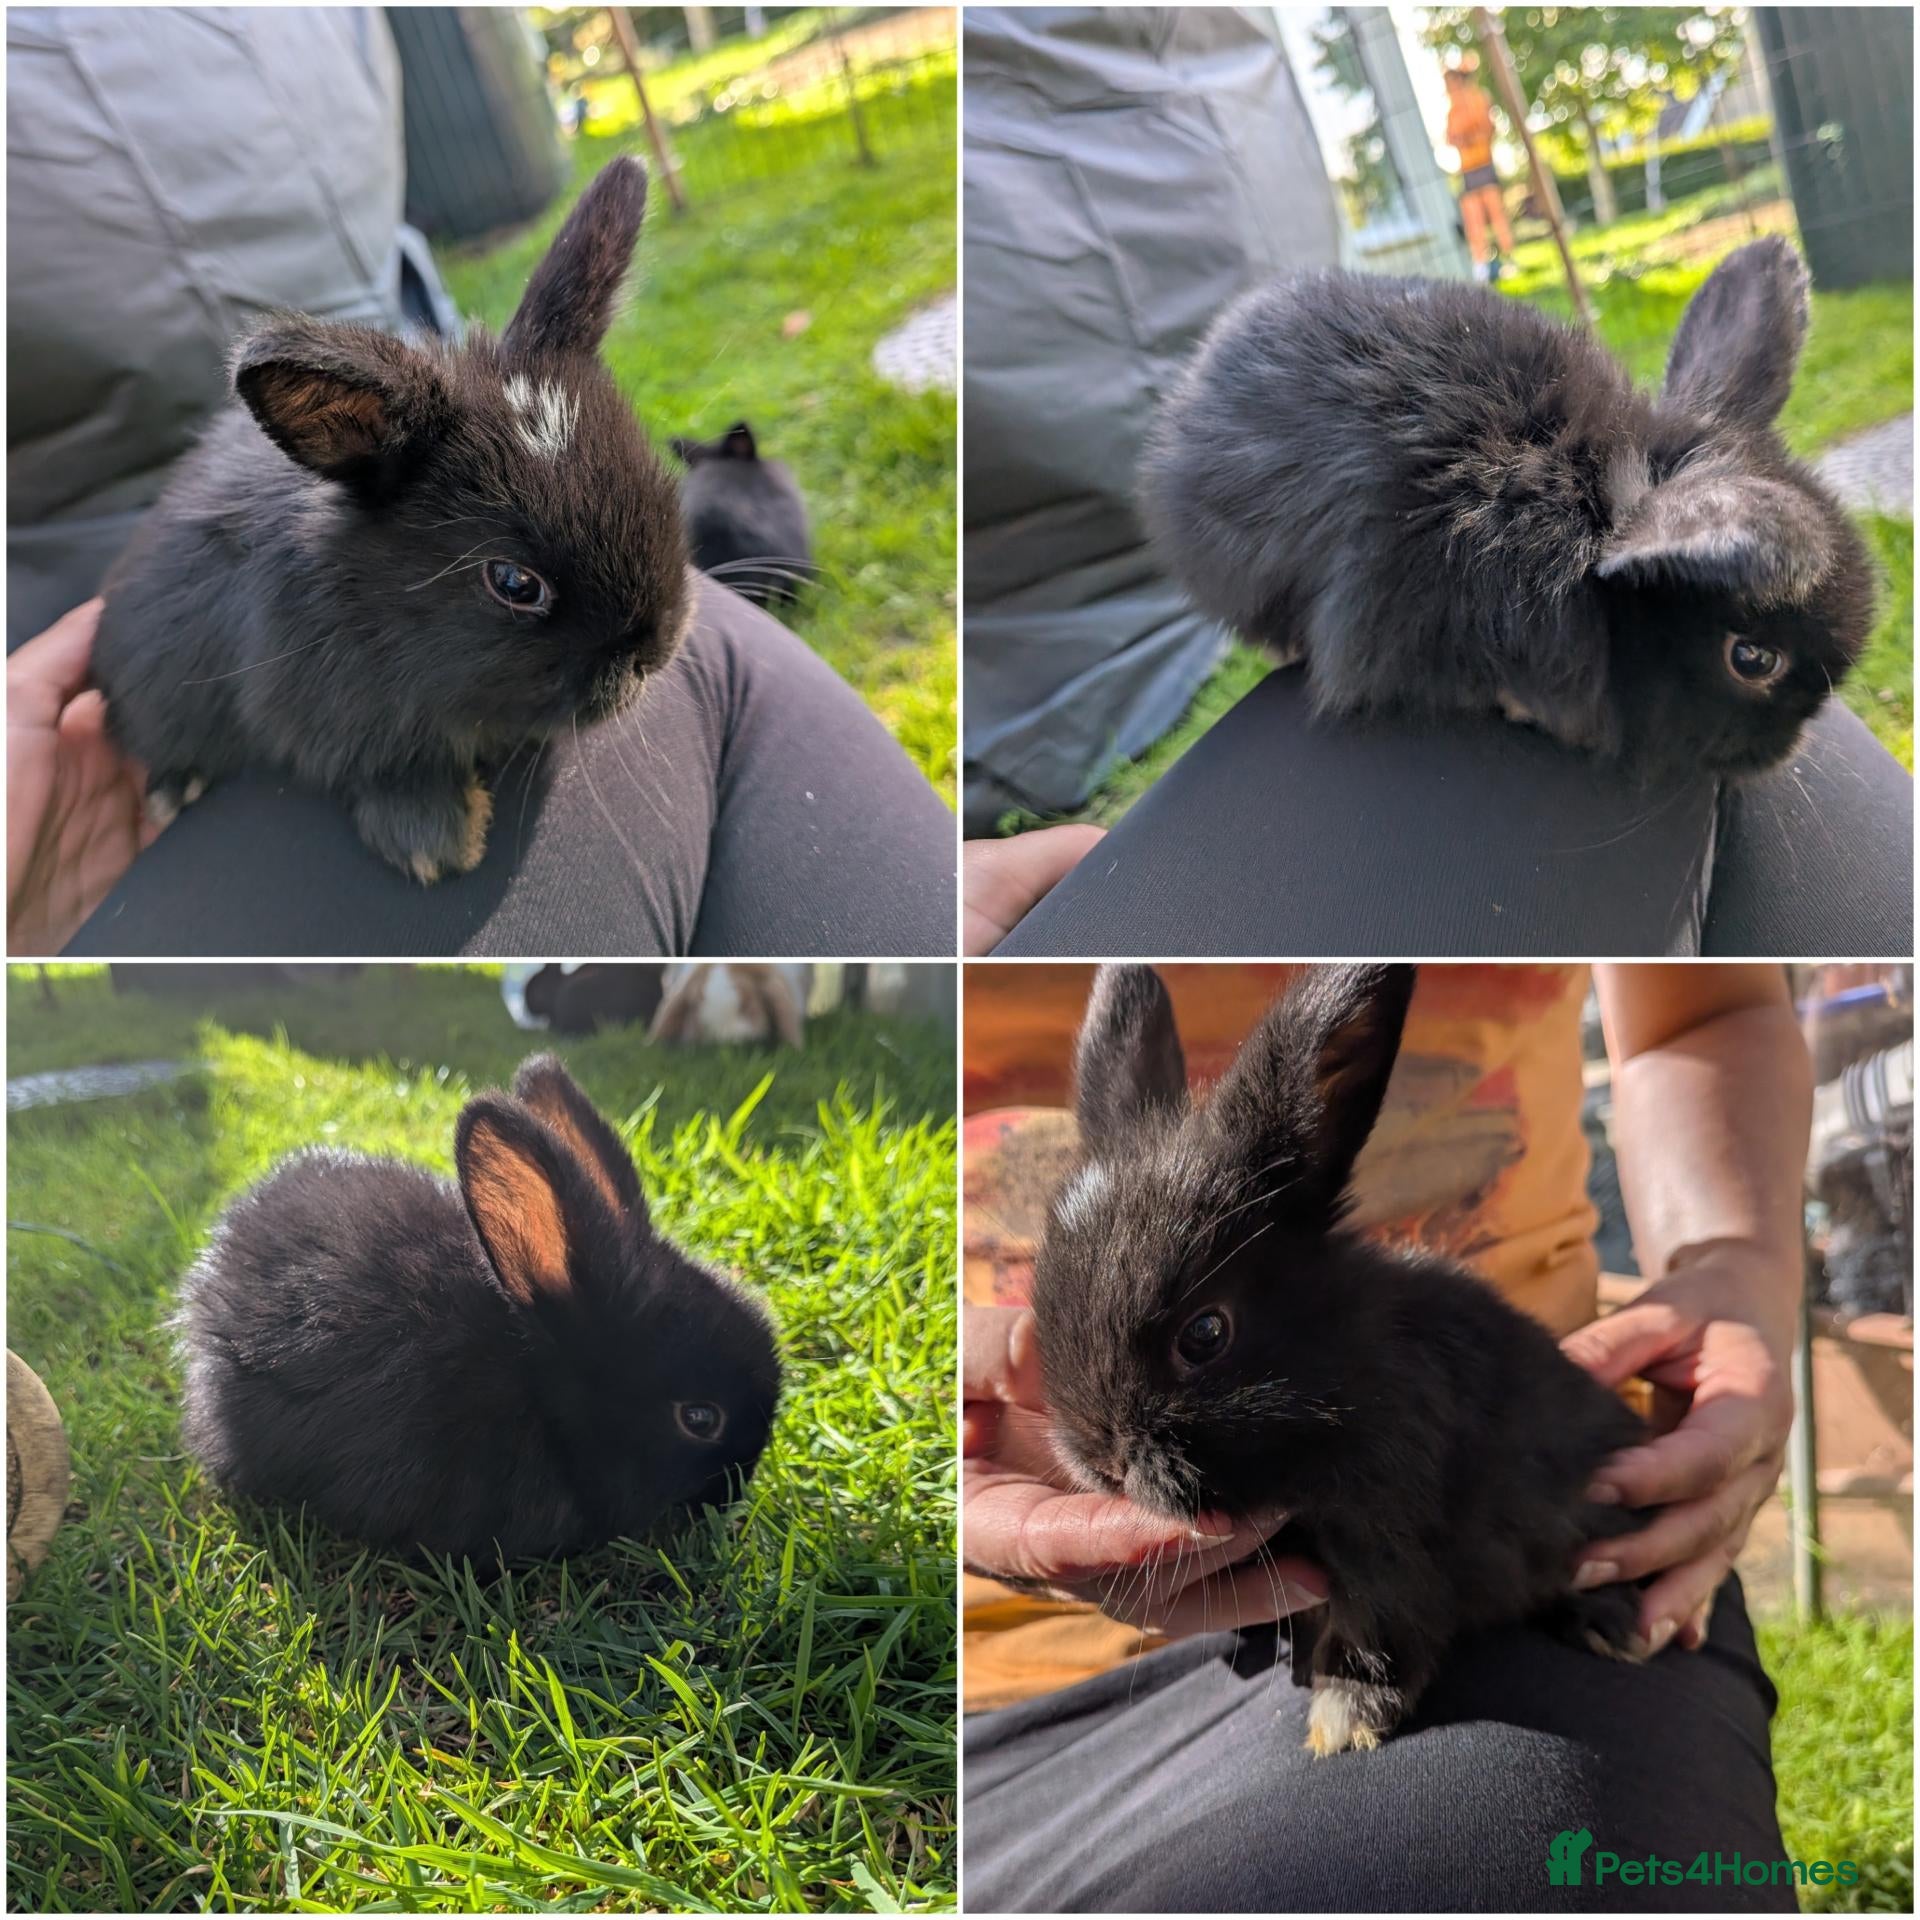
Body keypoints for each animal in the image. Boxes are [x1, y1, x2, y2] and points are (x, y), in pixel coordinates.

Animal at [90, 158, 690, 884]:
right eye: (514, 584)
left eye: (655, 477)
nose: (654, 650)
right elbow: (380, 769)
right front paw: (438, 842)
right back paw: (174, 790)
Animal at [1030, 963, 1654, 1757]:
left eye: (1204, 1335)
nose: (1103, 1462)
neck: (1335, 1373)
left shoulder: (1384, 1537)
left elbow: (1378, 1632)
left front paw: (1341, 1723)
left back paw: (1613, 1628)